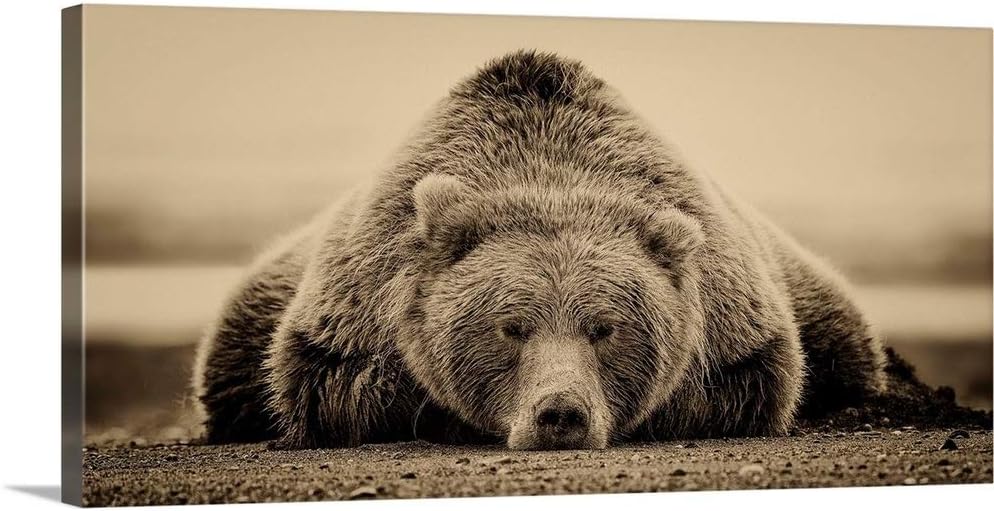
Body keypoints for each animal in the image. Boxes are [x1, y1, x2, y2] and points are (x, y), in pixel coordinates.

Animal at [192, 50, 886, 450]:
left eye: (605, 328)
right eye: (511, 327)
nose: (561, 414)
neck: (546, 170)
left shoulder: (735, 316)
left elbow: (747, 382)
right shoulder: (353, 307)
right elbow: (333, 387)